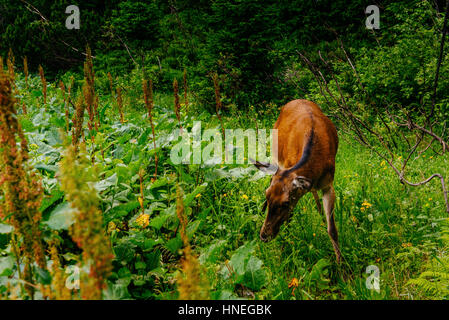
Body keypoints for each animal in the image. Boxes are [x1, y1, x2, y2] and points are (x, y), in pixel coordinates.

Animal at [252, 99, 340, 262]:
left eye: (285, 203)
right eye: (266, 195)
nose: (264, 236)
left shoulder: (328, 184)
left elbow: (332, 229)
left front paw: (341, 263)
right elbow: (289, 220)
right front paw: (283, 251)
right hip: (275, 155)